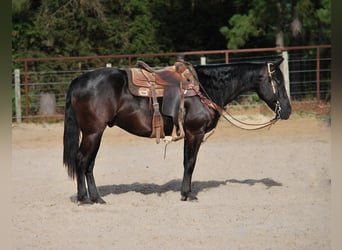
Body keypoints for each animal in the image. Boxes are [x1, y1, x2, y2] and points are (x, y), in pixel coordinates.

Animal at [62, 57, 292, 204]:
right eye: (277, 80)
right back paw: (84, 199)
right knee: (82, 160)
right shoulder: (194, 133)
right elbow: (189, 163)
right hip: (93, 132)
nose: (288, 110)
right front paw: (187, 194)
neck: (204, 88)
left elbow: (187, 162)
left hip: (96, 133)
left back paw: (97, 198)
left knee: (89, 163)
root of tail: (78, 81)